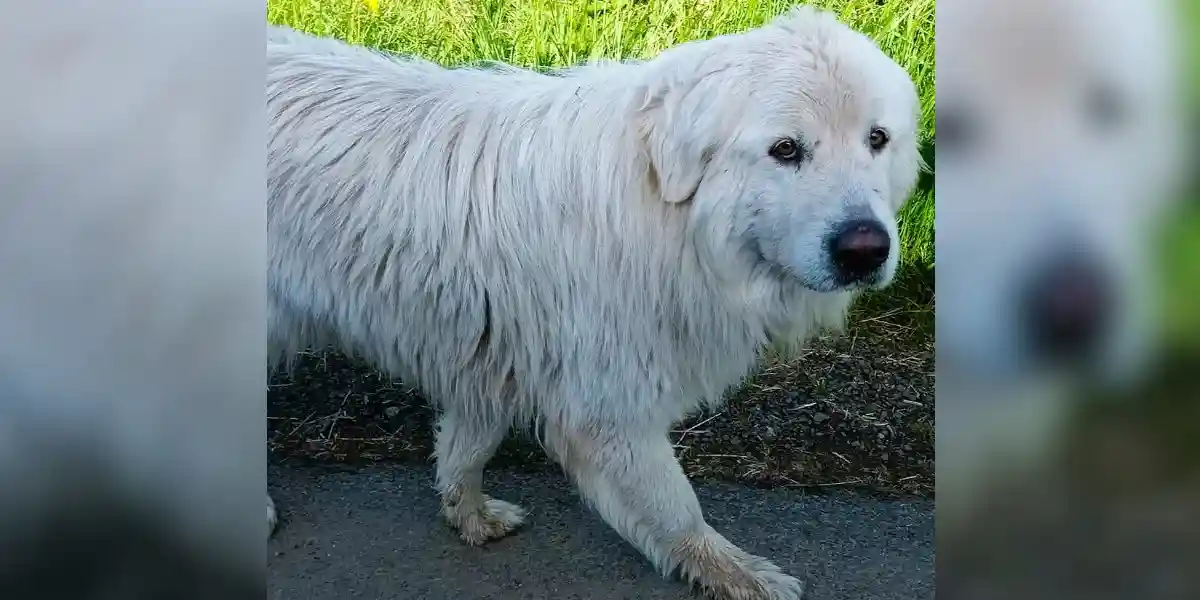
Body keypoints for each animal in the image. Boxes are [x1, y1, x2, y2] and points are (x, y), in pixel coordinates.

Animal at [265, 5, 916, 600]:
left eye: (877, 139)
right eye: (785, 149)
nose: (866, 249)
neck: (670, 220)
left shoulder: (493, 354)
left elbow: (467, 447)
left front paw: (468, 514)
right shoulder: (611, 409)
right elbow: (678, 508)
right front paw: (737, 574)